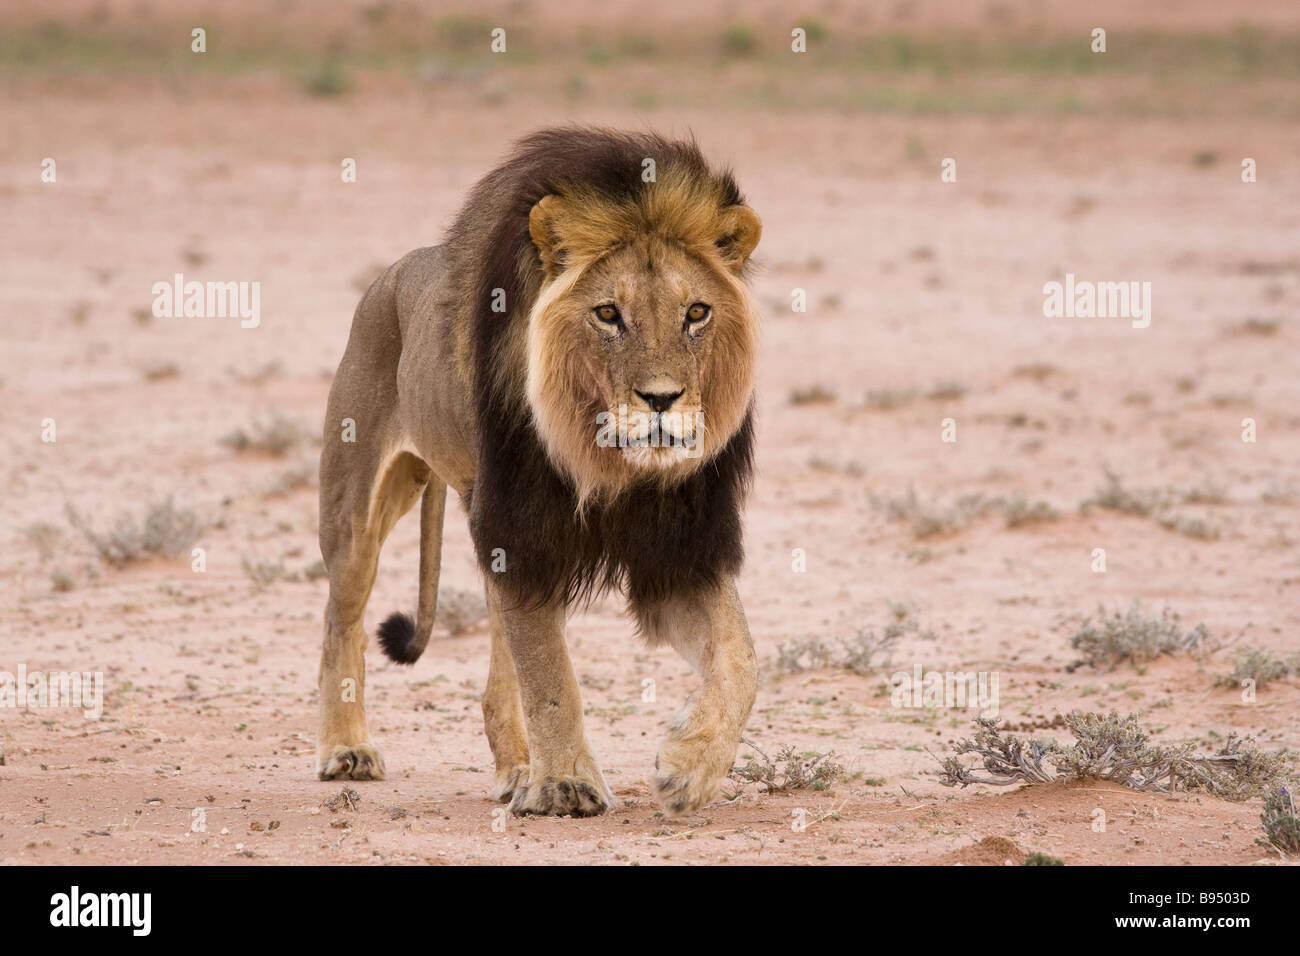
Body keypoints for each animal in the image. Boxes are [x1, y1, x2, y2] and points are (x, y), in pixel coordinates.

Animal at [316, 127, 763, 817]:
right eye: (608, 314)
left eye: (696, 313)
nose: (662, 400)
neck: (605, 461)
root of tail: (394, 271)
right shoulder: (522, 529)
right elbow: (550, 673)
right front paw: (567, 787)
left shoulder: (677, 547)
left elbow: (742, 660)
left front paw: (689, 769)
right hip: (358, 501)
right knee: (344, 620)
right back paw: (347, 750)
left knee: (501, 663)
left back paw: (518, 769)